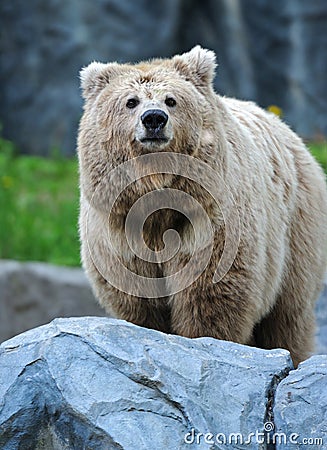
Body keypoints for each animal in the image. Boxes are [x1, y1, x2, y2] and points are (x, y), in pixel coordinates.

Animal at [79, 47, 327, 368]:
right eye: (130, 101)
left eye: (171, 99)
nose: (154, 118)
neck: (157, 201)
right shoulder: (119, 229)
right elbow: (137, 300)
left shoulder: (209, 220)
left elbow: (210, 296)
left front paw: (204, 345)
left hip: (296, 230)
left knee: (287, 315)